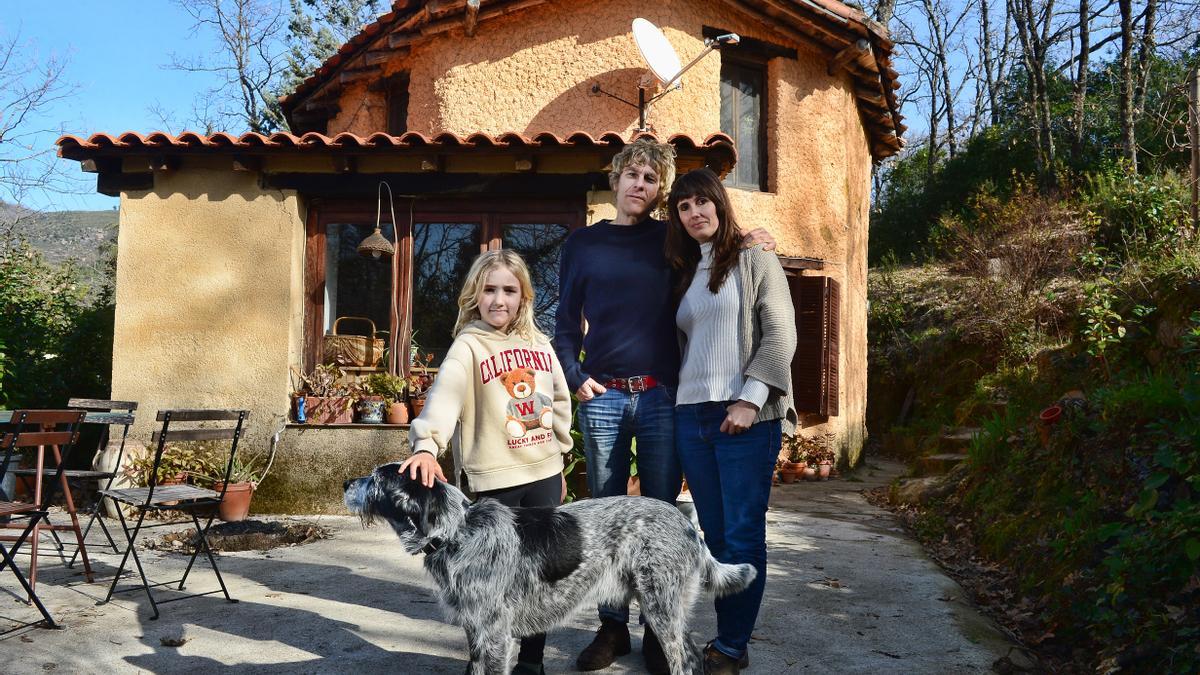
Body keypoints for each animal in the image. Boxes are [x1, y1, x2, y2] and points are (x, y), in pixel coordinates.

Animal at [343, 461, 753, 672]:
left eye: (376, 479)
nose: (347, 481)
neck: (457, 530)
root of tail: (687, 523)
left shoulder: (495, 635)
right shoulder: (476, 630)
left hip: (661, 608)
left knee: (682, 659)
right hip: (668, 609)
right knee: (692, 655)